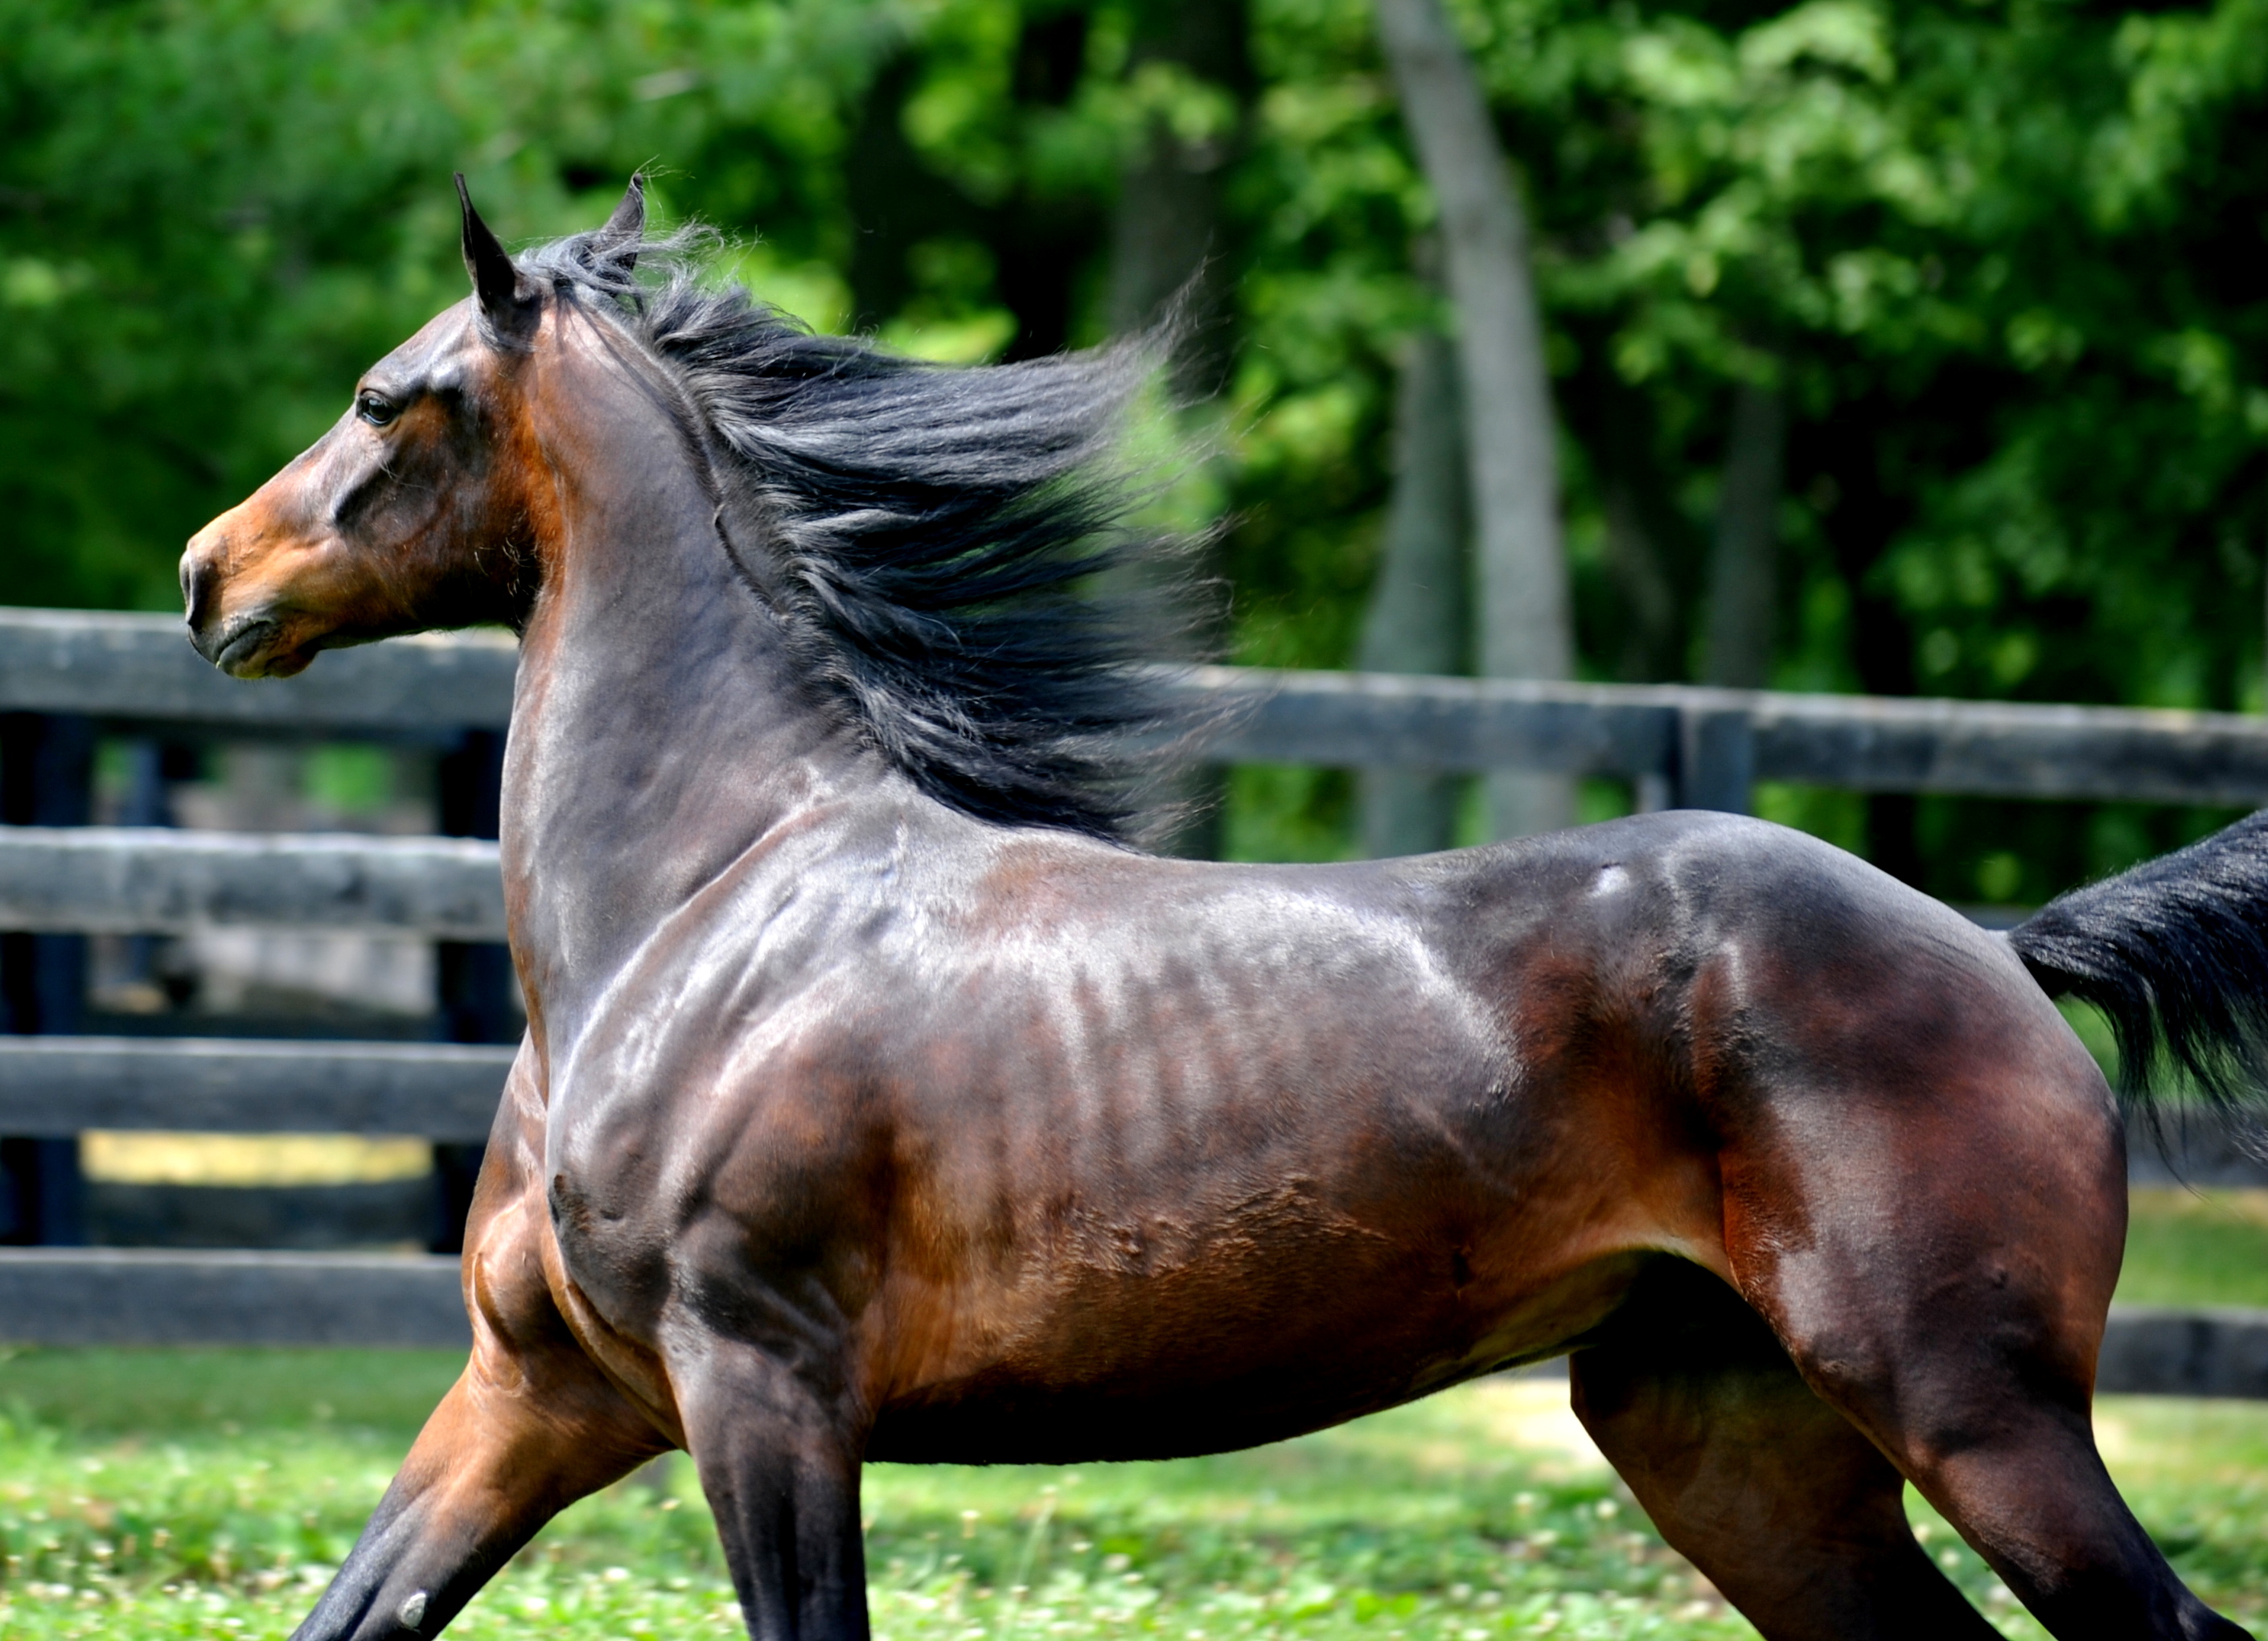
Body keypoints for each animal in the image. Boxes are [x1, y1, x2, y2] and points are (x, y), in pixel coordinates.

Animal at [178, 176, 2268, 1641]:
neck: (693, 907)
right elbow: (348, 1607)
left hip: (1967, 1404)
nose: (210, 575)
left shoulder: (759, 1384)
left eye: (382, 394)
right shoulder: (534, 1393)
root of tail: (1997, 948)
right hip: (1733, 1437)